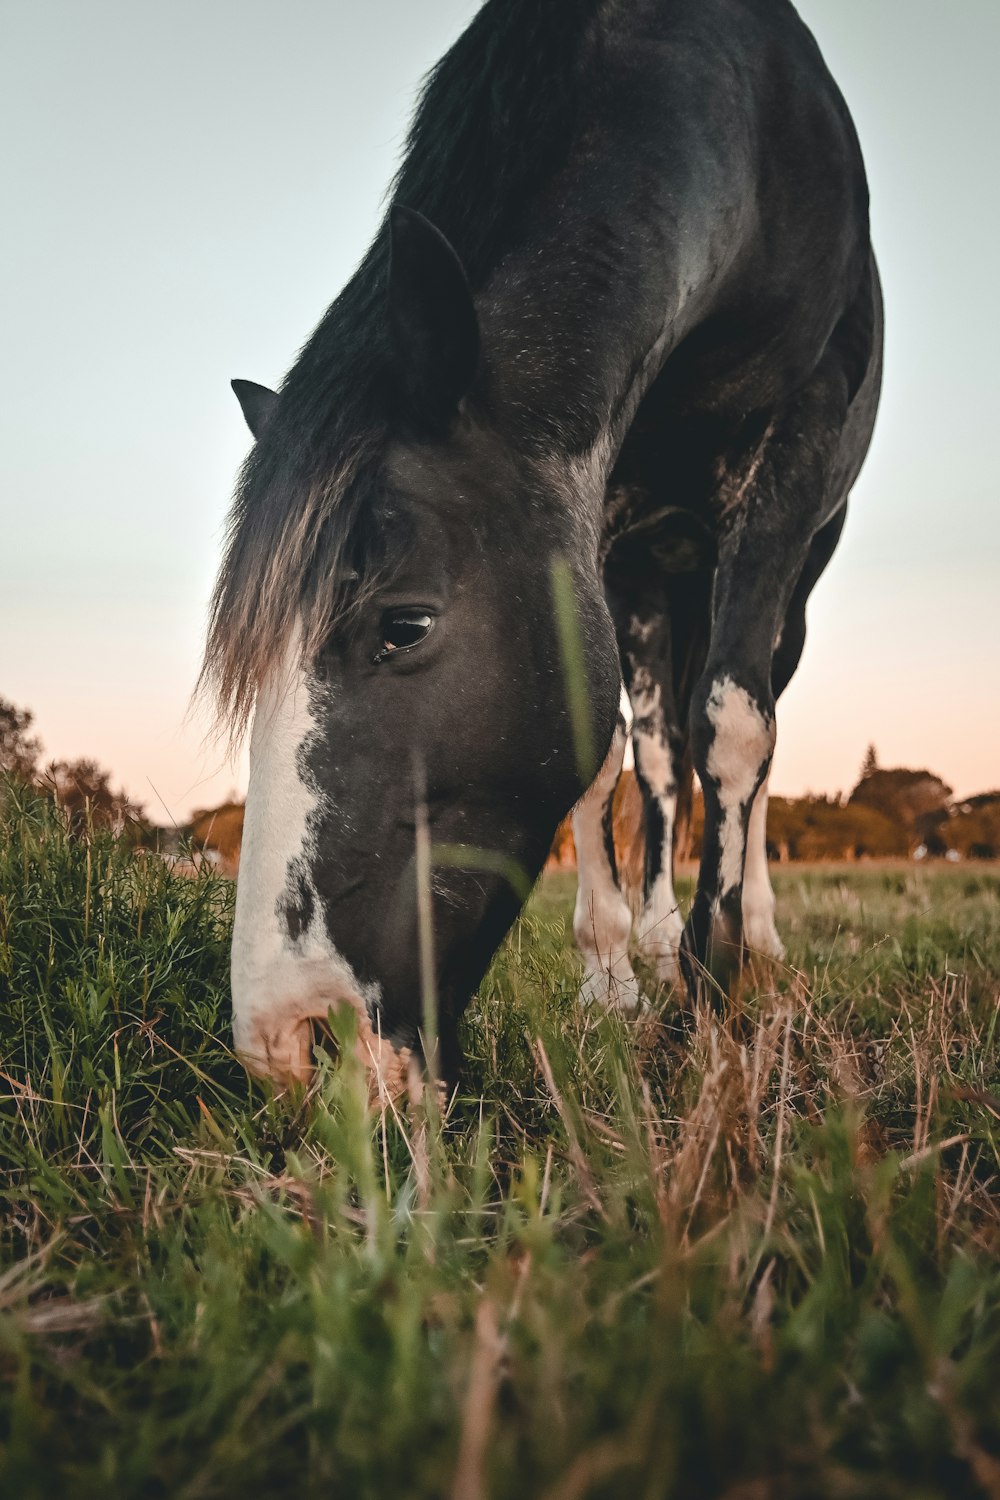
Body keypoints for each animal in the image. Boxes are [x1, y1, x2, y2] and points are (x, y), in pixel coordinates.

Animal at [205, 0, 881, 1092]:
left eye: (404, 625)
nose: (293, 1040)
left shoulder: (798, 448)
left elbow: (737, 731)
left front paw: (715, 1003)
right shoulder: (590, 525)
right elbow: (610, 754)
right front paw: (613, 976)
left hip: (787, 580)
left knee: (747, 734)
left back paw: (755, 941)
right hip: (647, 580)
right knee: (658, 757)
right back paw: (655, 941)